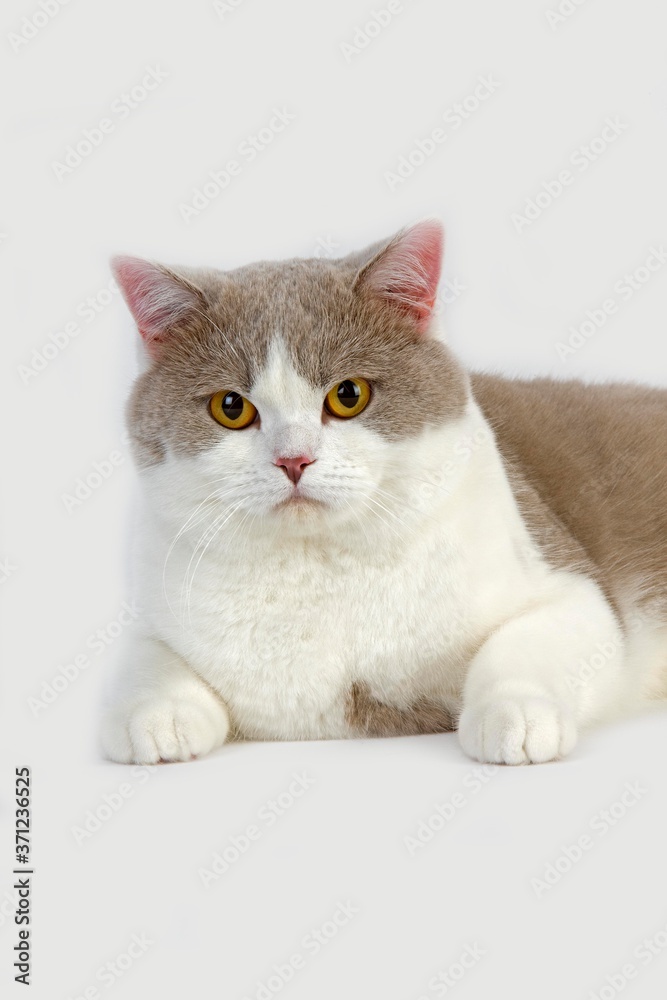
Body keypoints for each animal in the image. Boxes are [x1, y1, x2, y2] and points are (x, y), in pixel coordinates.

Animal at [99, 221, 667, 764]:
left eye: (348, 395)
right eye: (231, 407)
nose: (293, 459)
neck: (318, 567)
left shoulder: (568, 586)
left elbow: (524, 643)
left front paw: (514, 717)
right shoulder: (157, 606)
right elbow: (147, 663)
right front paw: (157, 719)